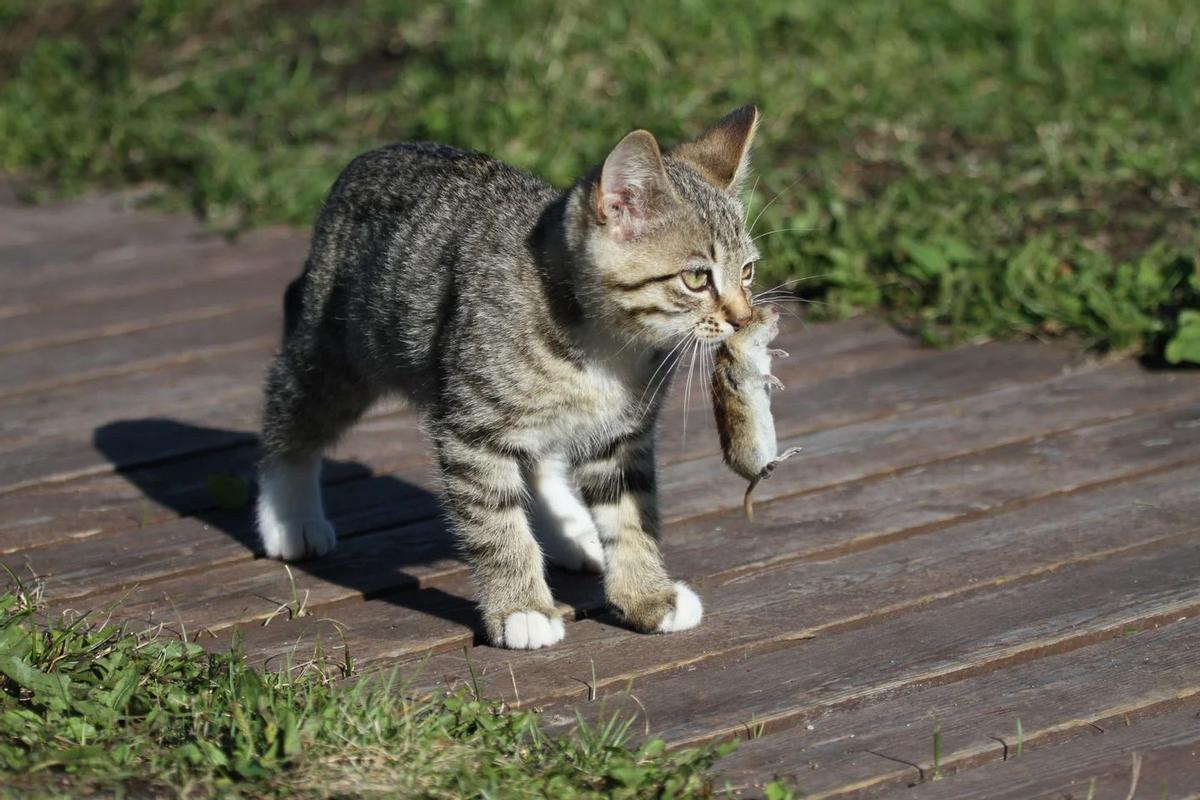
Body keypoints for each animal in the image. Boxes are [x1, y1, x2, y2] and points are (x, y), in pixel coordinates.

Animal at [261, 103, 763, 652]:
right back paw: (288, 514)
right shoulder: (471, 427)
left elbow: (631, 515)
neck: (604, 345)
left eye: (748, 272)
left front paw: (646, 597)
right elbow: (496, 523)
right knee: (292, 404)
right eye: (696, 278)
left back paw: (569, 529)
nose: (743, 318)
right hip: (341, 350)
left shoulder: (621, 434)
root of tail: (370, 156)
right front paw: (521, 608)